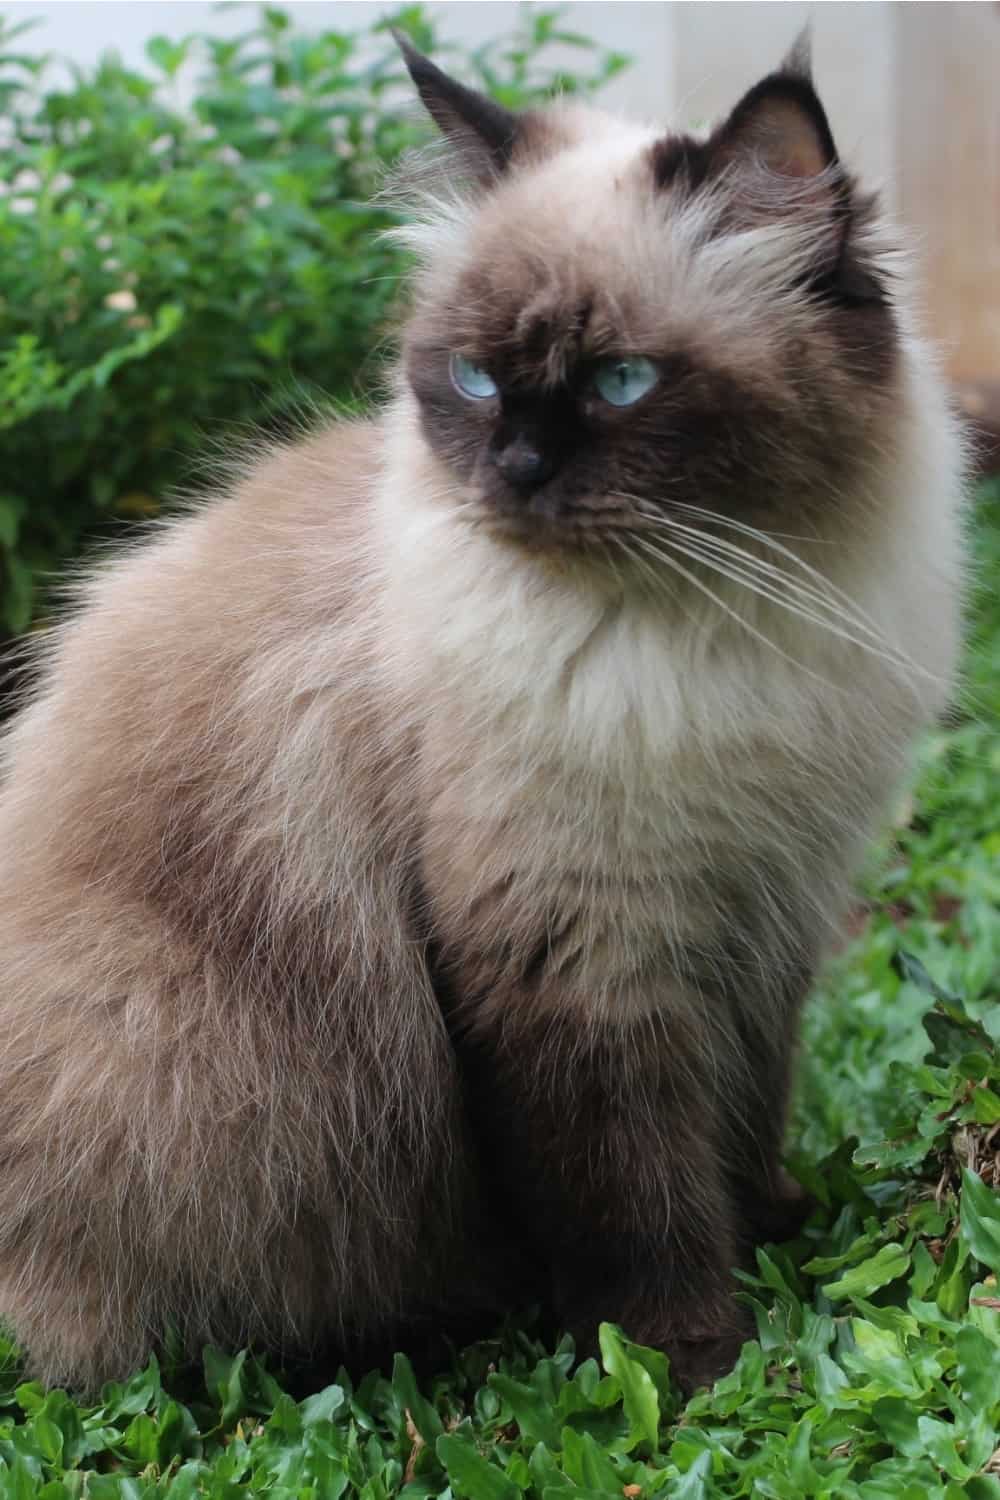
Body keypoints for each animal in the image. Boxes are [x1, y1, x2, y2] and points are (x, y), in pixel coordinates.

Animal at [0, 35, 965, 1392]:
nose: (514, 471)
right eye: (469, 379)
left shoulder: (768, 902)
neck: (712, 623)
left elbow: (745, 1104)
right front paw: (686, 1361)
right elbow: (631, 1186)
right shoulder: (575, 945)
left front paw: (774, 1222)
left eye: (621, 384)